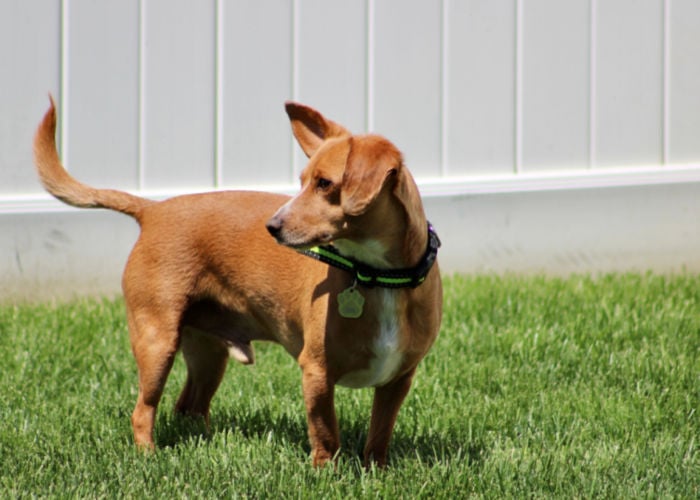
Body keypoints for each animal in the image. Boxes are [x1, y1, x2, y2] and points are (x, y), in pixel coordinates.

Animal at [32, 97, 442, 468]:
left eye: (325, 184)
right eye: (302, 183)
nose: (272, 226)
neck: (377, 276)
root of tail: (152, 209)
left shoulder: (398, 379)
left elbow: (380, 432)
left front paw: (376, 470)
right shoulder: (316, 372)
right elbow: (325, 432)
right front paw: (327, 474)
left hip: (208, 351)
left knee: (190, 406)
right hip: (156, 340)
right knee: (143, 409)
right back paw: (149, 456)